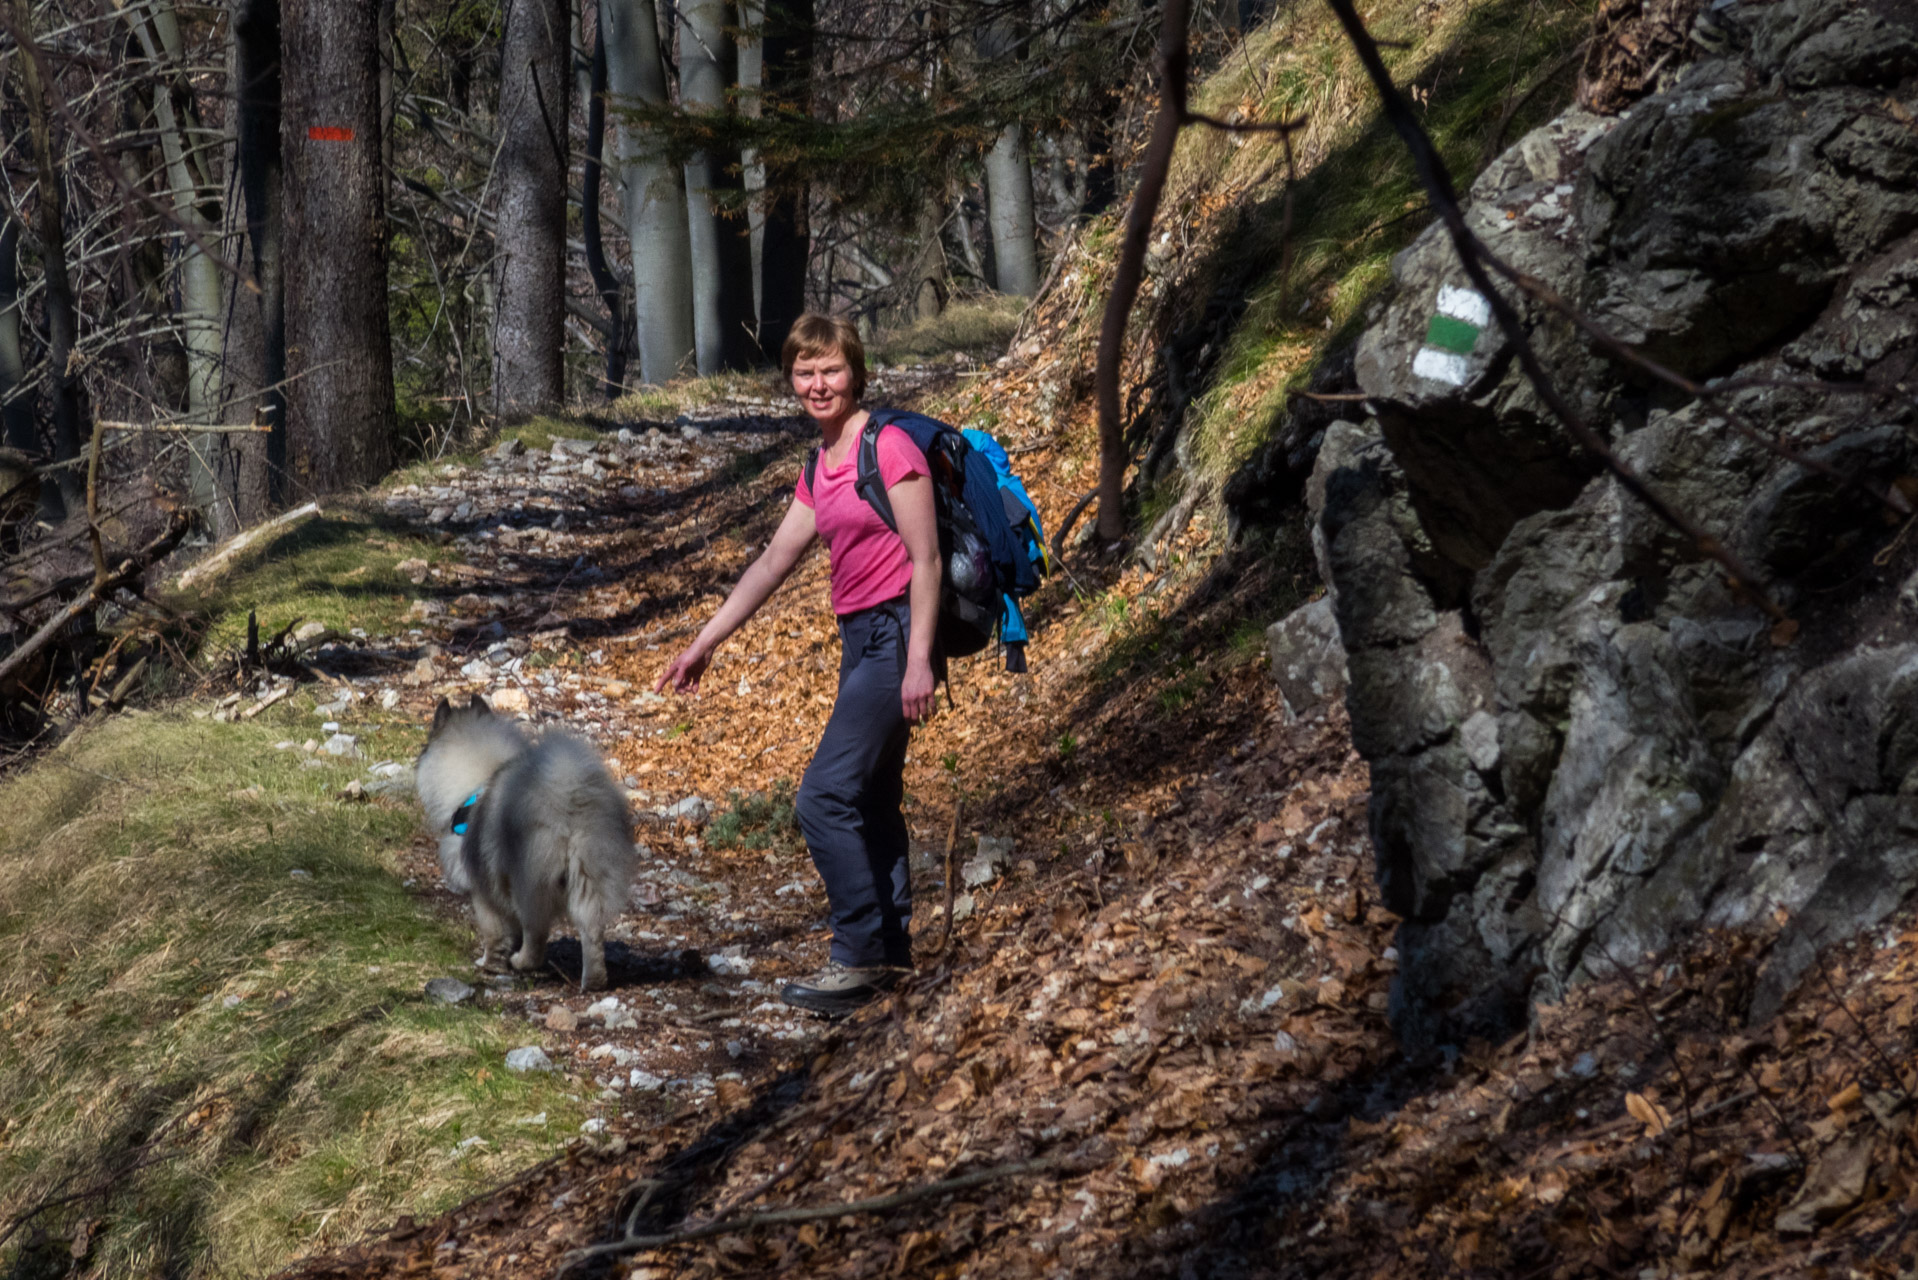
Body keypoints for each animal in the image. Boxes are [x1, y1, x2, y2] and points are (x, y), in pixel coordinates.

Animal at [416, 702, 632, 990]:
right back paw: (593, 981)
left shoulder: (483, 888)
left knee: (536, 934)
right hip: (588, 877)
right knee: (592, 934)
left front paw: (489, 963)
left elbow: (494, 934)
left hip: (530, 883)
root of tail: (567, 798)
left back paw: (521, 962)